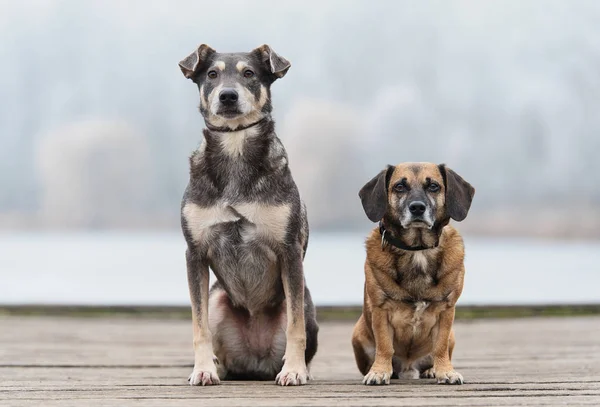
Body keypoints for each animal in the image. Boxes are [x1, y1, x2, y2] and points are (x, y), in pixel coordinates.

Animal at [178, 43, 318, 386]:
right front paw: (202, 369)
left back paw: (299, 368)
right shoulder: (194, 253)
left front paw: (294, 370)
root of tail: (256, 361)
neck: (234, 144)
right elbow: (198, 326)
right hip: (217, 298)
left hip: (305, 301)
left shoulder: (289, 251)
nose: (228, 96)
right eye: (211, 74)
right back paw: (218, 367)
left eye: (249, 73)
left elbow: (295, 328)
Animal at [352, 162, 474, 386]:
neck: (418, 250)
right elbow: (385, 346)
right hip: (358, 334)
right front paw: (379, 372)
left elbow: (440, 346)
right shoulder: (381, 310)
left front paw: (445, 371)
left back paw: (431, 370)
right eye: (400, 187)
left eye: (433, 186)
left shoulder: (446, 311)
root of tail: (409, 367)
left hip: (451, 336)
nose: (417, 207)